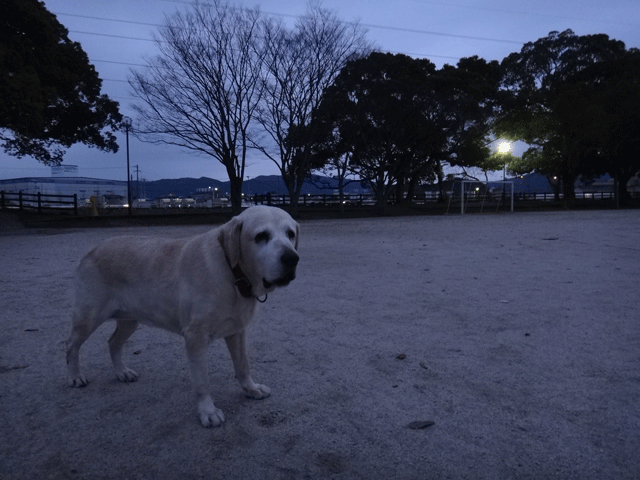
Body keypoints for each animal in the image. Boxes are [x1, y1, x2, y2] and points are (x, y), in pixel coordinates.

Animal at [66, 206, 302, 428]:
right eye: (261, 236)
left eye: (290, 234)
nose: (292, 258)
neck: (232, 274)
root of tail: (93, 249)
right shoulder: (195, 338)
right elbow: (202, 382)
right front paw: (208, 411)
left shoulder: (236, 332)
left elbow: (243, 366)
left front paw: (251, 390)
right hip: (88, 317)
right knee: (71, 345)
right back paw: (76, 377)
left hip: (130, 320)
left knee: (113, 342)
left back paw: (122, 372)